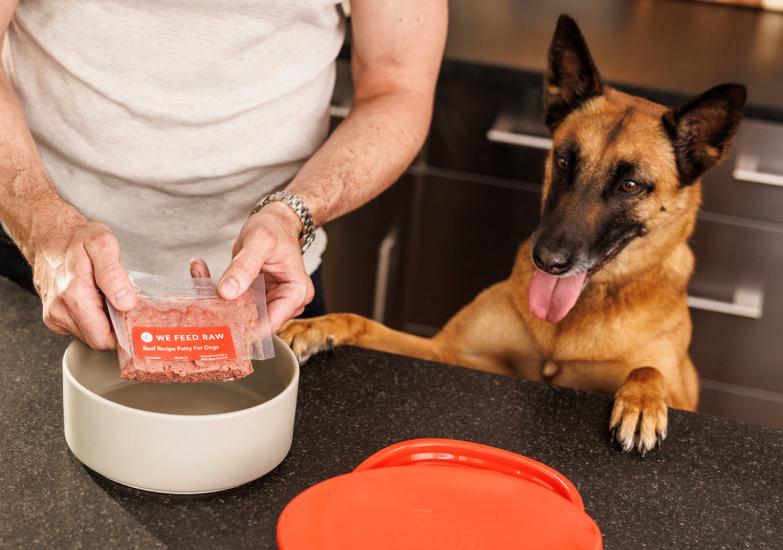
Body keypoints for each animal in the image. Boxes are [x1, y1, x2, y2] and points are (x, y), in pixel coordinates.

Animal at [280, 16, 748, 458]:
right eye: (564, 161)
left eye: (630, 186)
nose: (548, 260)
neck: (568, 325)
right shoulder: (446, 354)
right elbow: (363, 322)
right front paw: (317, 325)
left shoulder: (679, 388)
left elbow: (649, 370)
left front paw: (642, 404)